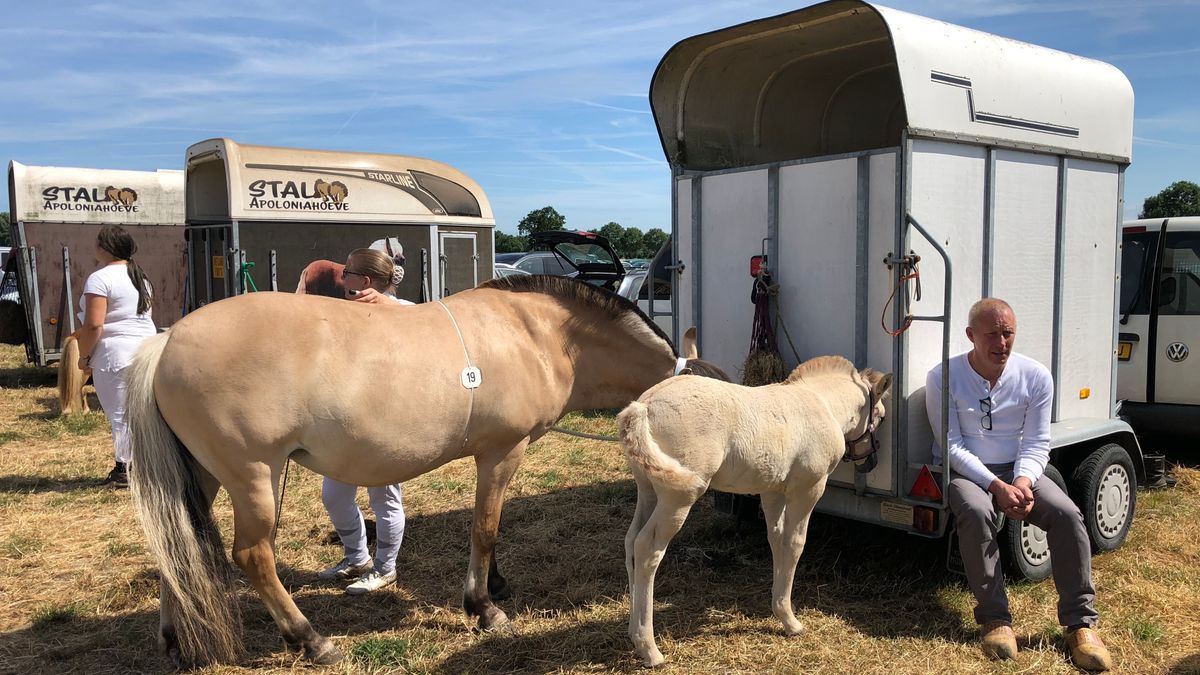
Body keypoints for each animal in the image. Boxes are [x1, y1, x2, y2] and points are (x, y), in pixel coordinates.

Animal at [125, 275, 724, 667]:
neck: (539, 333)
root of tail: (167, 340)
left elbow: (490, 527)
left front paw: (495, 586)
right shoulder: (502, 451)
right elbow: (485, 528)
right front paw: (483, 608)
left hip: (200, 476)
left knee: (176, 549)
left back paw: (176, 639)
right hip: (254, 475)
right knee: (253, 555)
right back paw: (312, 640)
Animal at [618, 355, 894, 667]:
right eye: (881, 417)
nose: (870, 462)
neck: (822, 403)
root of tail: (645, 405)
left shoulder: (772, 491)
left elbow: (777, 540)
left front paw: (780, 612)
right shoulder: (809, 488)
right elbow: (795, 544)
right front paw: (792, 623)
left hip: (648, 491)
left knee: (631, 542)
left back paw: (632, 634)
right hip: (677, 498)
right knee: (647, 550)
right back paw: (649, 648)